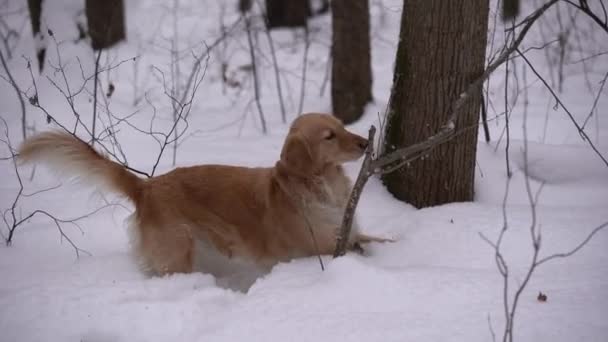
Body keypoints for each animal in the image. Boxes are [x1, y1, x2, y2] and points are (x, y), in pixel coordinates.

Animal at [20, 113, 390, 276]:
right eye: (329, 136)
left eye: (342, 126)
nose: (365, 143)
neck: (322, 188)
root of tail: (146, 186)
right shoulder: (319, 249)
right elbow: (353, 249)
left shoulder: (351, 232)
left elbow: (377, 239)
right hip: (178, 251)